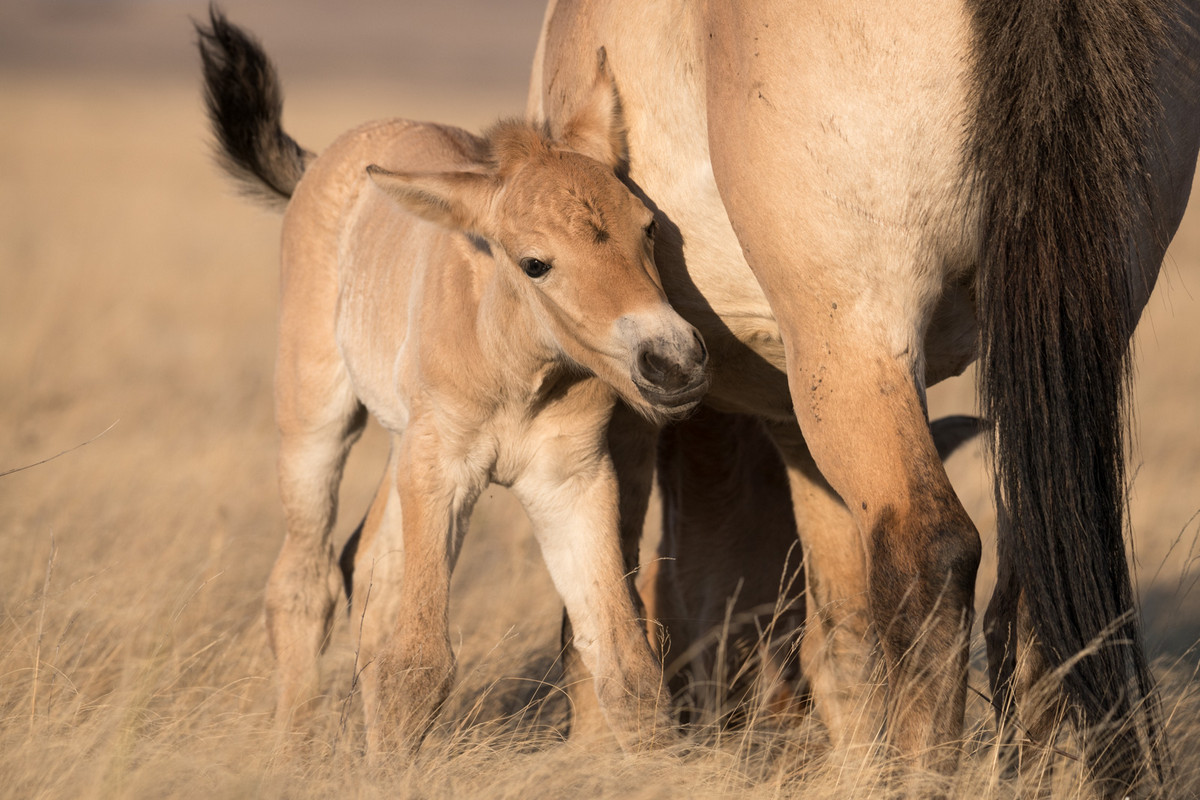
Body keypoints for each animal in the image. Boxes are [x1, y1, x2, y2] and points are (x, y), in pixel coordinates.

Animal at [194, 10, 700, 758]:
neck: (515, 367)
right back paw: (291, 754)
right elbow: (420, 665)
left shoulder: (572, 481)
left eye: (650, 228)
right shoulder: (445, 473)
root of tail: (326, 161)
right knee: (304, 581)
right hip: (317, 418)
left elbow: (626, 667)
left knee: (368, 568)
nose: (673, 362)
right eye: (534, 262)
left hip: (404, 442)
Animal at [532, 0, 1200, 791]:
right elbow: (838, 627)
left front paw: (595, 754)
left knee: (932, 556)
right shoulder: (790, 417)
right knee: (1042, 592)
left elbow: (605, 575)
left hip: (856, 335)